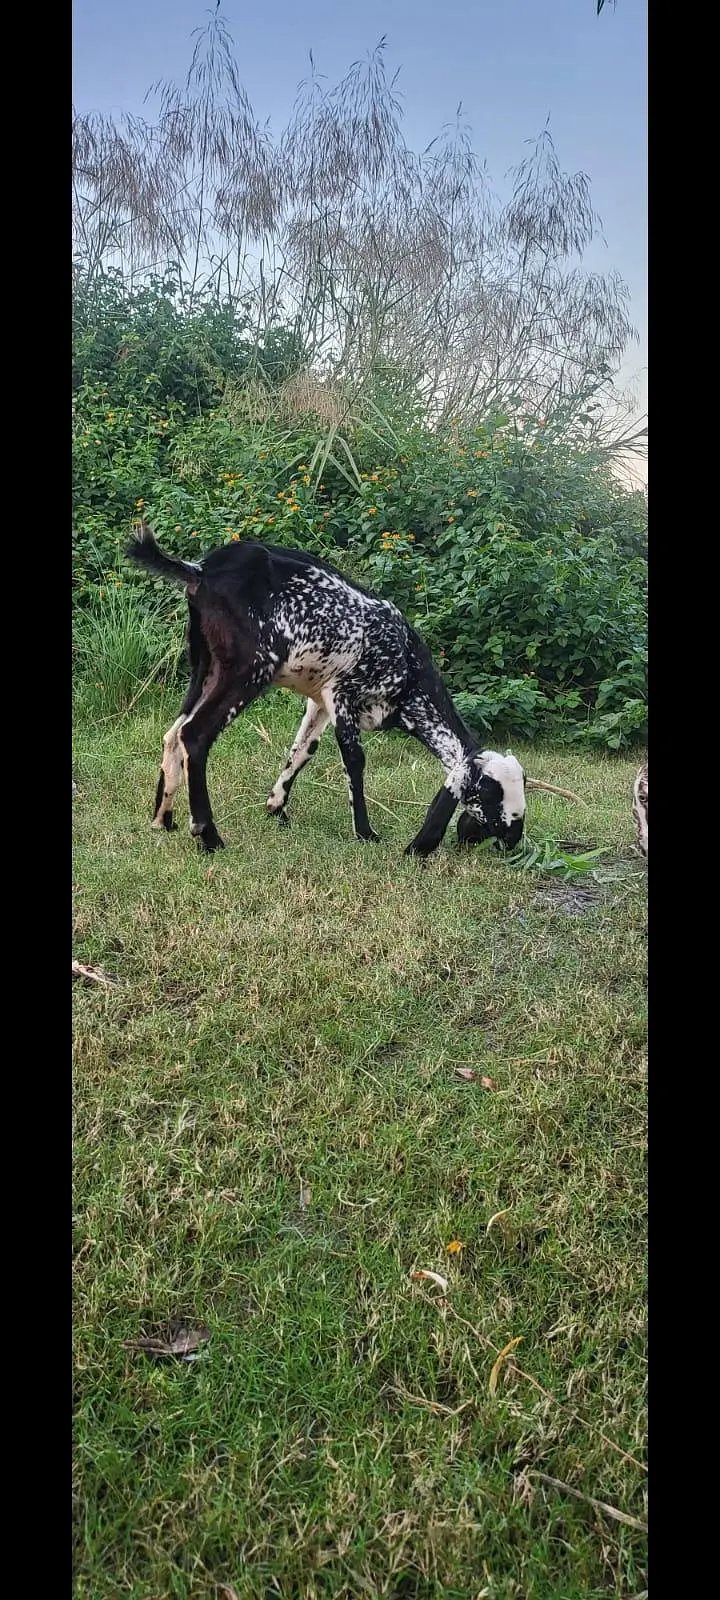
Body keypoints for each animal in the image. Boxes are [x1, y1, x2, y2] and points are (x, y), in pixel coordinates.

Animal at [126, 525, 527, 857]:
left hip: (205, 664)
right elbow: (355, 760)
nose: (514, 840)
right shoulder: (343, 694)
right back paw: (208, 835)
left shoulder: (318, 702)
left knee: (173, 732)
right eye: (492, 795)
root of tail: (201, 571)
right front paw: (365, 833)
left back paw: (162, 818)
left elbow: (303, 750)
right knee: (195, 734)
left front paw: (276, 807)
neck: (408, 670)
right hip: (250, 668)